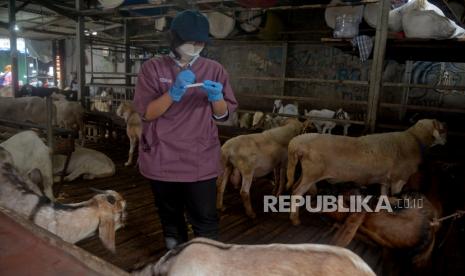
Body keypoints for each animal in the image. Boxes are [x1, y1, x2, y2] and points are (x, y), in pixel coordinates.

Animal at [284, 119, 448, 225]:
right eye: (442, 128)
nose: (447, 140)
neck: (415, 140)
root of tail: (297, 142)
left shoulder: (386, 177)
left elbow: (384, 192)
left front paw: (386, 203)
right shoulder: (399, 178)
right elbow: (395, 193)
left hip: (307, 173)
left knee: (296, 187)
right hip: (312, 173)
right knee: (297, 193)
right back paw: (295, 219)